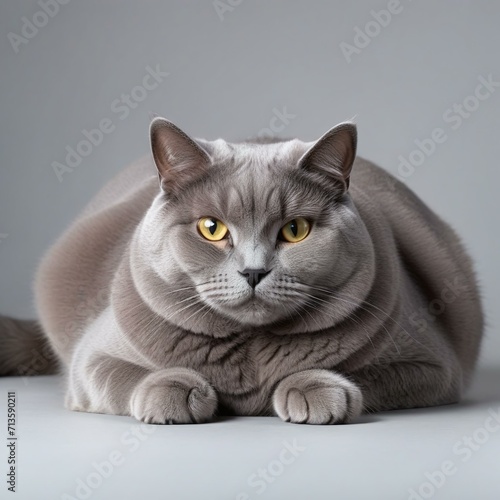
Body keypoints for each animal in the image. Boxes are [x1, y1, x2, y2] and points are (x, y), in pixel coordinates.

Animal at [0, 119, 484, 424]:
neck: (249, 355)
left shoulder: (432, 366)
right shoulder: (91, 357)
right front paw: (179, 393)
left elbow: (366, 375)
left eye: (295, 230)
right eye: (211, 228)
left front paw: (311, 391)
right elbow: (120, 374)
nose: (254, 271)